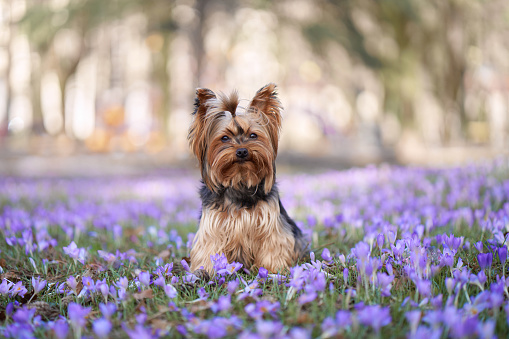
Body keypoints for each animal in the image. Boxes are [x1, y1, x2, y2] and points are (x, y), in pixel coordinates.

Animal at [189, 83, 304, 274]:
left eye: (253, 135)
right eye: (224, 138)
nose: (242, 151)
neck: (240, 180)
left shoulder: (270, 222)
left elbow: (273, 243)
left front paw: (271, 270)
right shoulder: (213, 224)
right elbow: (209, 247)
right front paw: (207, 270)